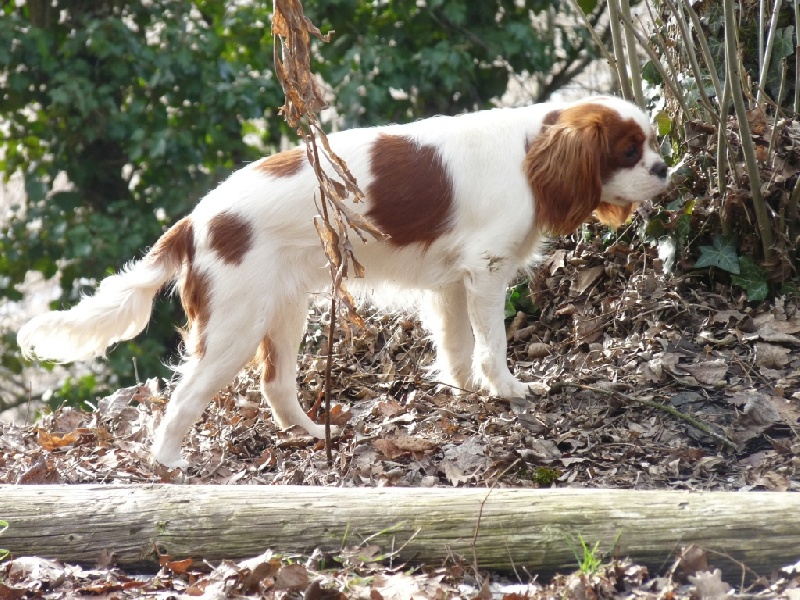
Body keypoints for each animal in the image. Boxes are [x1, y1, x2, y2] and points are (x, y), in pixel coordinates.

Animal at [17, 95, 668, 468]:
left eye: (653, 143)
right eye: (629, 150)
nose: (666, 169)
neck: (530, 151)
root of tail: (195, 222)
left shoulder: (451, 282)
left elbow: (457, 346)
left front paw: (464, 390)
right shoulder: (486, 272)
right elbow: (492, 343)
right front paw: (508, 389)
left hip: (283, 312)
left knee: (276, 385)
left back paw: (312, 434)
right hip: (234, 326)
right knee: (184, 398)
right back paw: (169, 463)